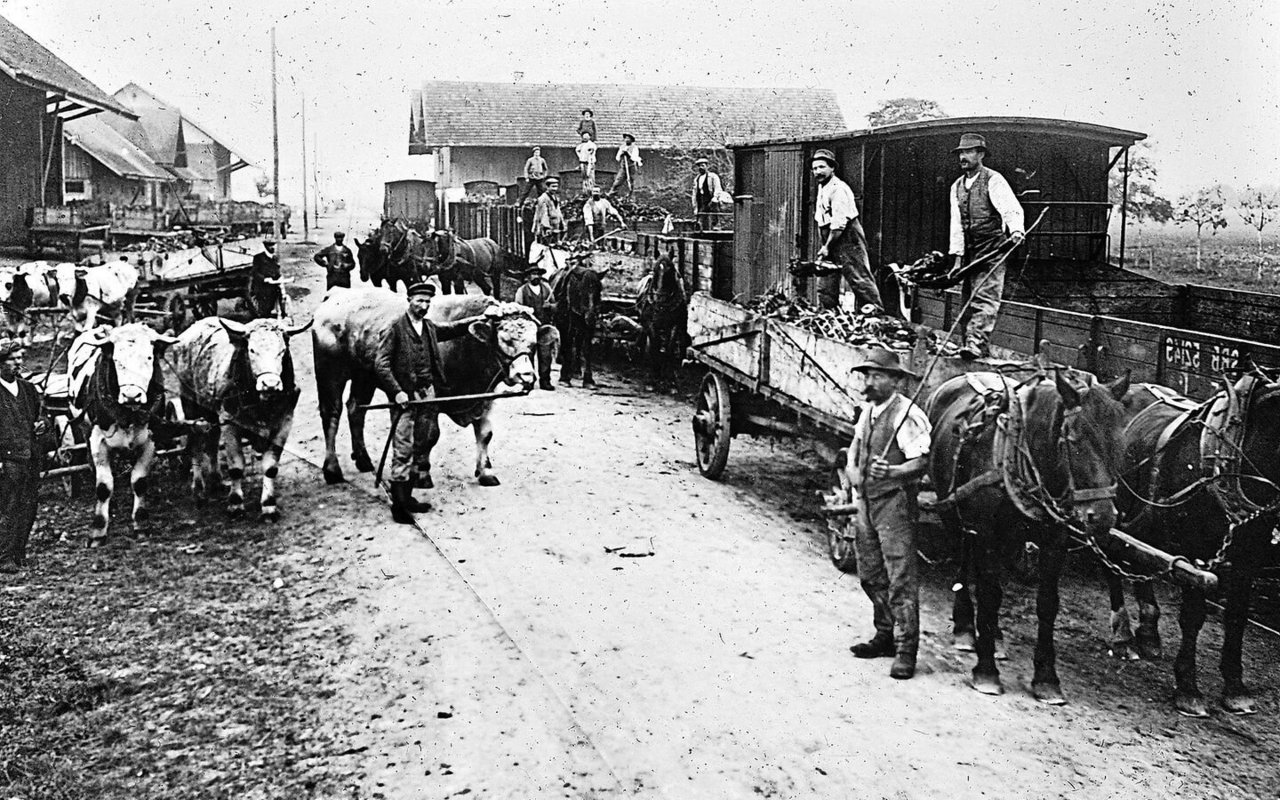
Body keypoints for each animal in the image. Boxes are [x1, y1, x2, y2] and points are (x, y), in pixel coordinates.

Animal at [632, 249, 686, 386]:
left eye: (671, 268)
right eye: (655, 269)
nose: (660, 296)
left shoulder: (674, 325)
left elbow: (670, 348)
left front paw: (668, 375)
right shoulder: (650, 323)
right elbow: (654, 345)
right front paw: (656, 372)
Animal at [931, 366, 1131, 696]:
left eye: (1120, 443)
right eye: (1073, 440)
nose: (1102, 517)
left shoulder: (1054, 542)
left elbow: (1047, 604)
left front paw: (1047, 678)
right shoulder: (986, 531)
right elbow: (989, 594)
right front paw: (986, 671)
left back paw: (995, 636)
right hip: (953, 508)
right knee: (964, 560)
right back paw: (965, 628)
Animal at [1105, 373, 1280, 716]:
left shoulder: (1247, 557)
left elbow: (1237, 616)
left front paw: (1236, 688)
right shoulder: (1196, 554)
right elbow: (1193, 617)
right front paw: (1188, 688)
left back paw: (1149, 633)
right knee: (1112, 561)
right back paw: (1123, 636)